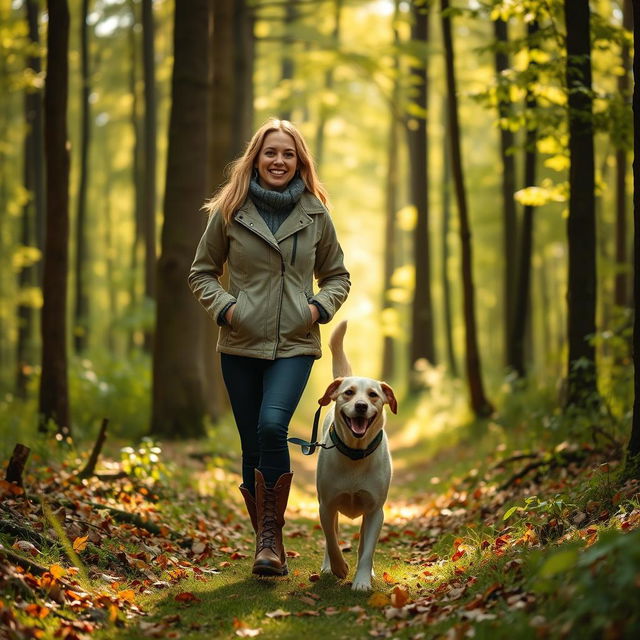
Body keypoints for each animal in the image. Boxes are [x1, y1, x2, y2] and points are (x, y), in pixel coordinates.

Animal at [316, 320, 396, 592]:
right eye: (348, 393)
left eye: (373, 395)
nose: (361, 406)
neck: (355, 454)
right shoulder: (326, 504)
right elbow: (331, 539)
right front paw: (339, 567)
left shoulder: (375, 511)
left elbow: (367, 549)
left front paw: (361, 580)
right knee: (332, 535)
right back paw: (329, 566)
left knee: (363, 546)